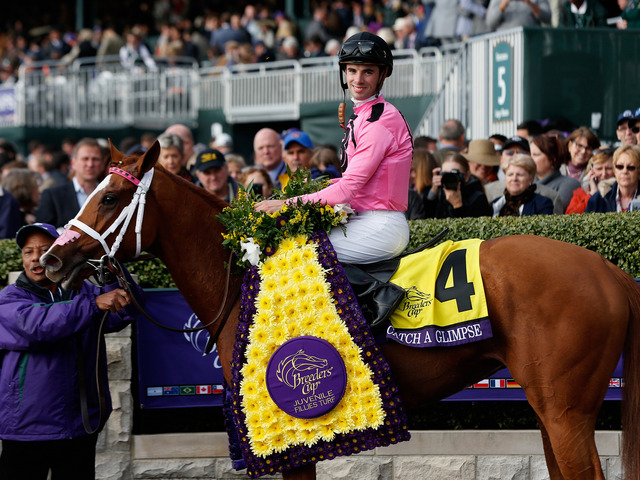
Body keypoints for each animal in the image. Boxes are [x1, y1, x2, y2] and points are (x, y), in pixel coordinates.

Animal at [43, 143, 640, 480]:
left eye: (110, 198)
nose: (52, 259)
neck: (239, 277)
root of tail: (610, 273)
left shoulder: (290, 436)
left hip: (565, 410)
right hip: (551, 408)